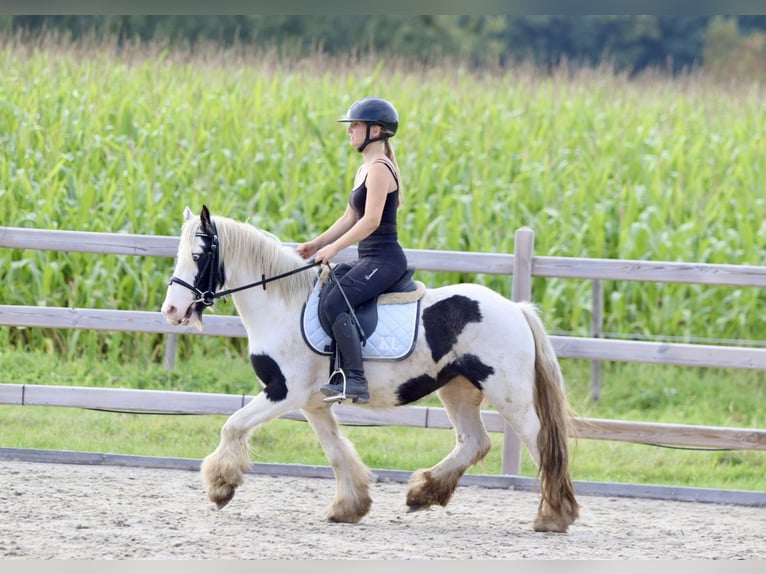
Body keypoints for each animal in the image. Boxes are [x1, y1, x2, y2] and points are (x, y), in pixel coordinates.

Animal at [162, 206, 584, 536]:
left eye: (199, 255)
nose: (171, 310)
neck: (283, 306)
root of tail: (517, 308)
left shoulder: (284, 391)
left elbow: (232, 425)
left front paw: (220, 487)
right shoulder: (313, 402)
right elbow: (336, 451)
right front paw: (349, 506)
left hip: (508, 393)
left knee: (541, 442)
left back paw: (554, 516)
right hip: (458, 389)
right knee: (474, 442)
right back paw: (421, 493)